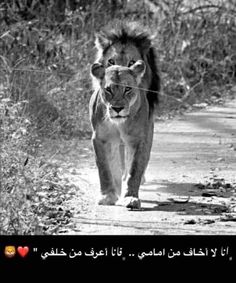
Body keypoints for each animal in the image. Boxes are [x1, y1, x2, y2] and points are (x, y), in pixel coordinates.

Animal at [89, 22, 160, 210]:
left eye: (128, 89)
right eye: (108, 89)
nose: (117, 108)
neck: (119, 123)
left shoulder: (140, 139)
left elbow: (134, 169)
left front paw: (131, 197)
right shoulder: (100, 138)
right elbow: (105, 168)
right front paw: (108, 195)